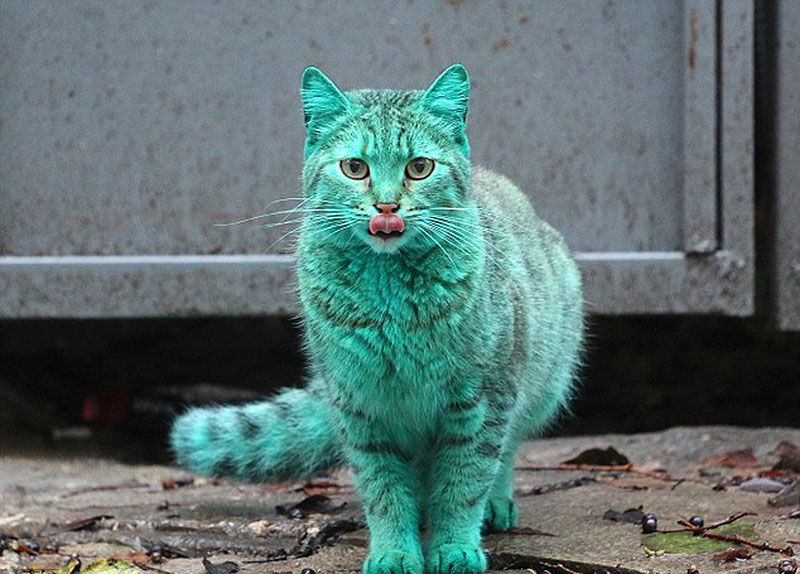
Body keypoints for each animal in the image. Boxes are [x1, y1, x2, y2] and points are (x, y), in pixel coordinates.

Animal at [170, 64, 580, 574]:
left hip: (541, 386)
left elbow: (464, 482)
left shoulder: (484, 401)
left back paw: (495, 505)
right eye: (355, 167)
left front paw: (454, 547)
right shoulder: (362, 408)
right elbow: (384, 489)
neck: (391, 301)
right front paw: (394, 552)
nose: (387, 205)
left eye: (419, 167)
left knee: (505, 454)